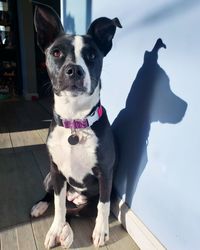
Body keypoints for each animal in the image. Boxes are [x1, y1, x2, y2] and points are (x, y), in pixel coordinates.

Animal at [30, 2, 121, 249]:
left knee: (77, 211)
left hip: (88, 200)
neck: (75, 121)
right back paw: (43, 208)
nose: (74, 70)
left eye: (91, 55)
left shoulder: (105, 175)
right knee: (58, 201)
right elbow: (59, 207)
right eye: (56, 52)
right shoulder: (57, 172)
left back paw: (68, 232)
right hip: (50, 177)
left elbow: (103, 206)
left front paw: (101, 232)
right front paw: (54, 229)